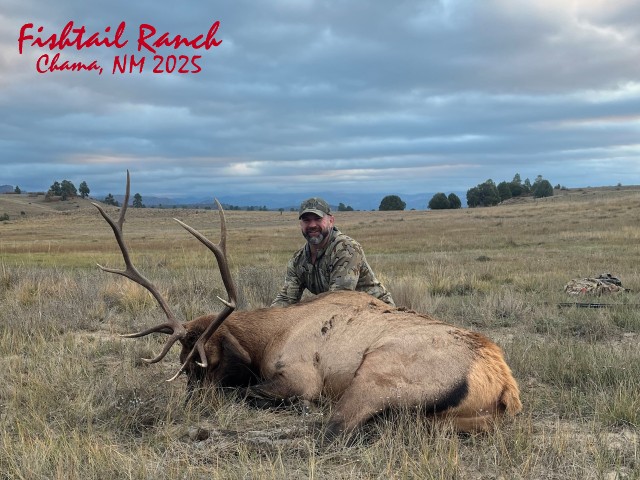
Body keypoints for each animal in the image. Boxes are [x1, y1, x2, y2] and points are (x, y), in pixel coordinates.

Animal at [93, 172, 522, 443]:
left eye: (206, 362)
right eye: (182, 365)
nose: (188, 407)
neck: (270, 336)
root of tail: (503, 386)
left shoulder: (302, 378)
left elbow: (244, 392)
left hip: (376, 375)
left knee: (333, 431)